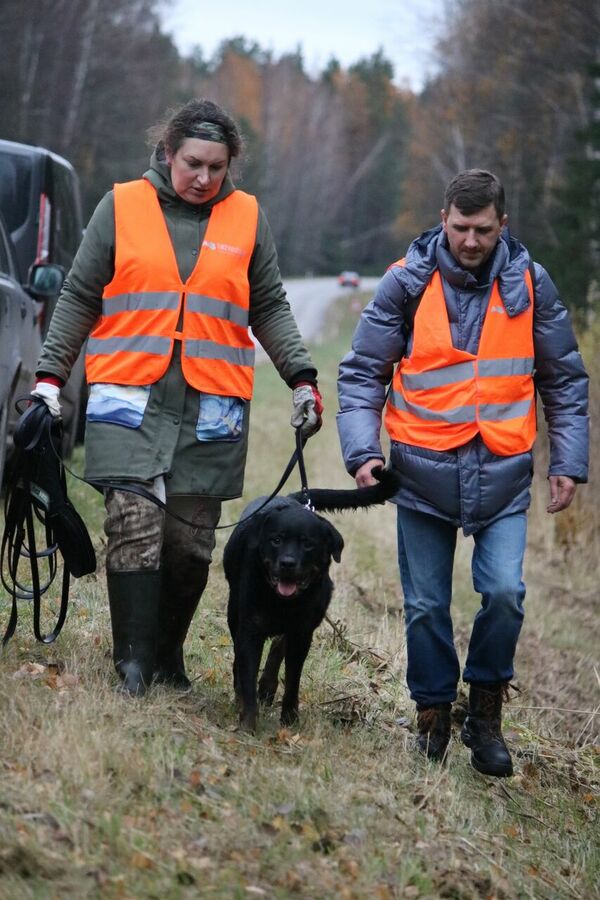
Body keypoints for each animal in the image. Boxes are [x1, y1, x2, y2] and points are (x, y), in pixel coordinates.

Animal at [221, 468, 398, 736]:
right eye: (276, 540)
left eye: (308, 544)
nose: (287, 563)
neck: (283, 602)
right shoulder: (250, 629)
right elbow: (247, 671)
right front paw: (248, 723)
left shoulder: (302, 633)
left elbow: (293, 677)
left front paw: (290, 718)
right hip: (234, 611)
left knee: (278, 646)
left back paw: (268, 687)